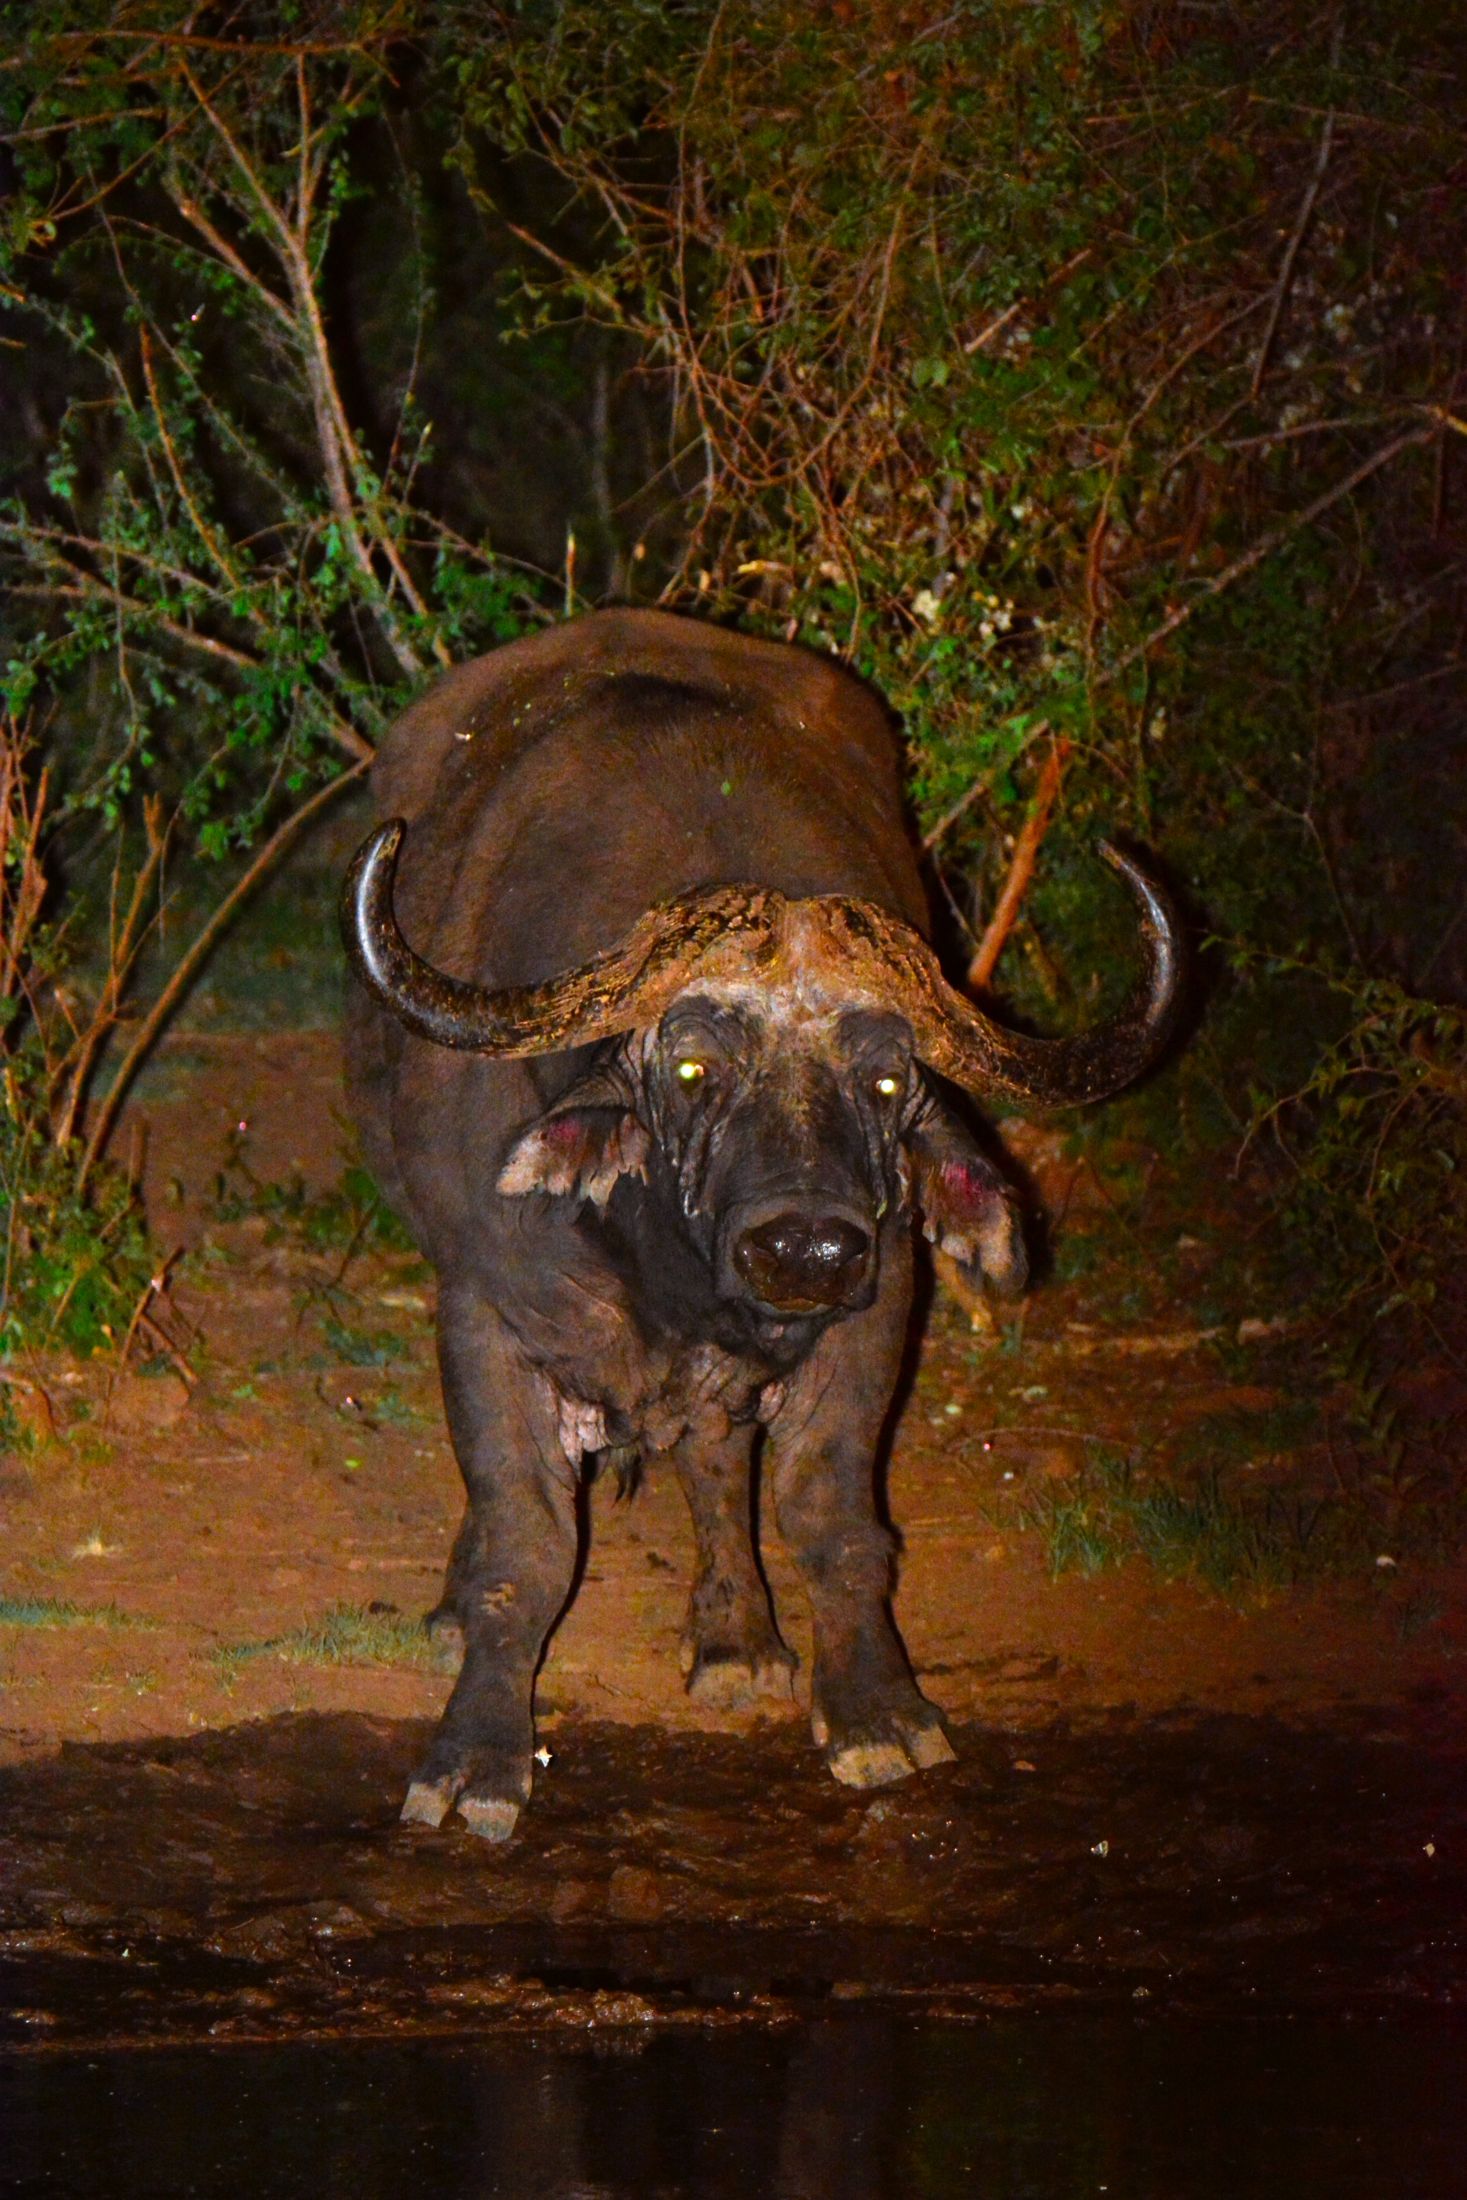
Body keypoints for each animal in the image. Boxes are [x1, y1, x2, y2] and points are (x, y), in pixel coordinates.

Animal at [342, 609, 1181, 1840]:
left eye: (885, 1082)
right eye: (693, 1067)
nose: (803, 1249)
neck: (674, 1280)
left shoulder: (874, 1320)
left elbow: (826, 1513)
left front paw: (875, 1709)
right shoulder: (487, 1315)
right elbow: (523, 1546)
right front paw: (476, 1755)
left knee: (715, 1452)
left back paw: (736, 1635)